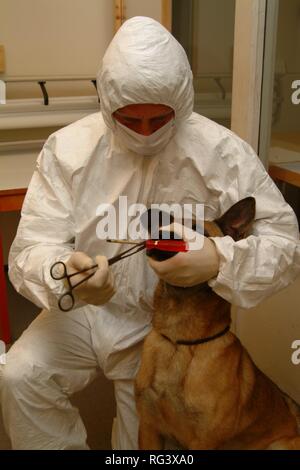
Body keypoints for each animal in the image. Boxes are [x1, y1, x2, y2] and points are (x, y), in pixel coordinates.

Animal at [136, 196, 300, 450]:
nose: (162, 233)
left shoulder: (203, 442)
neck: (179, 342)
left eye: (198, 231)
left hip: (278, 445)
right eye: (166, 226)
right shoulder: (148, 428)